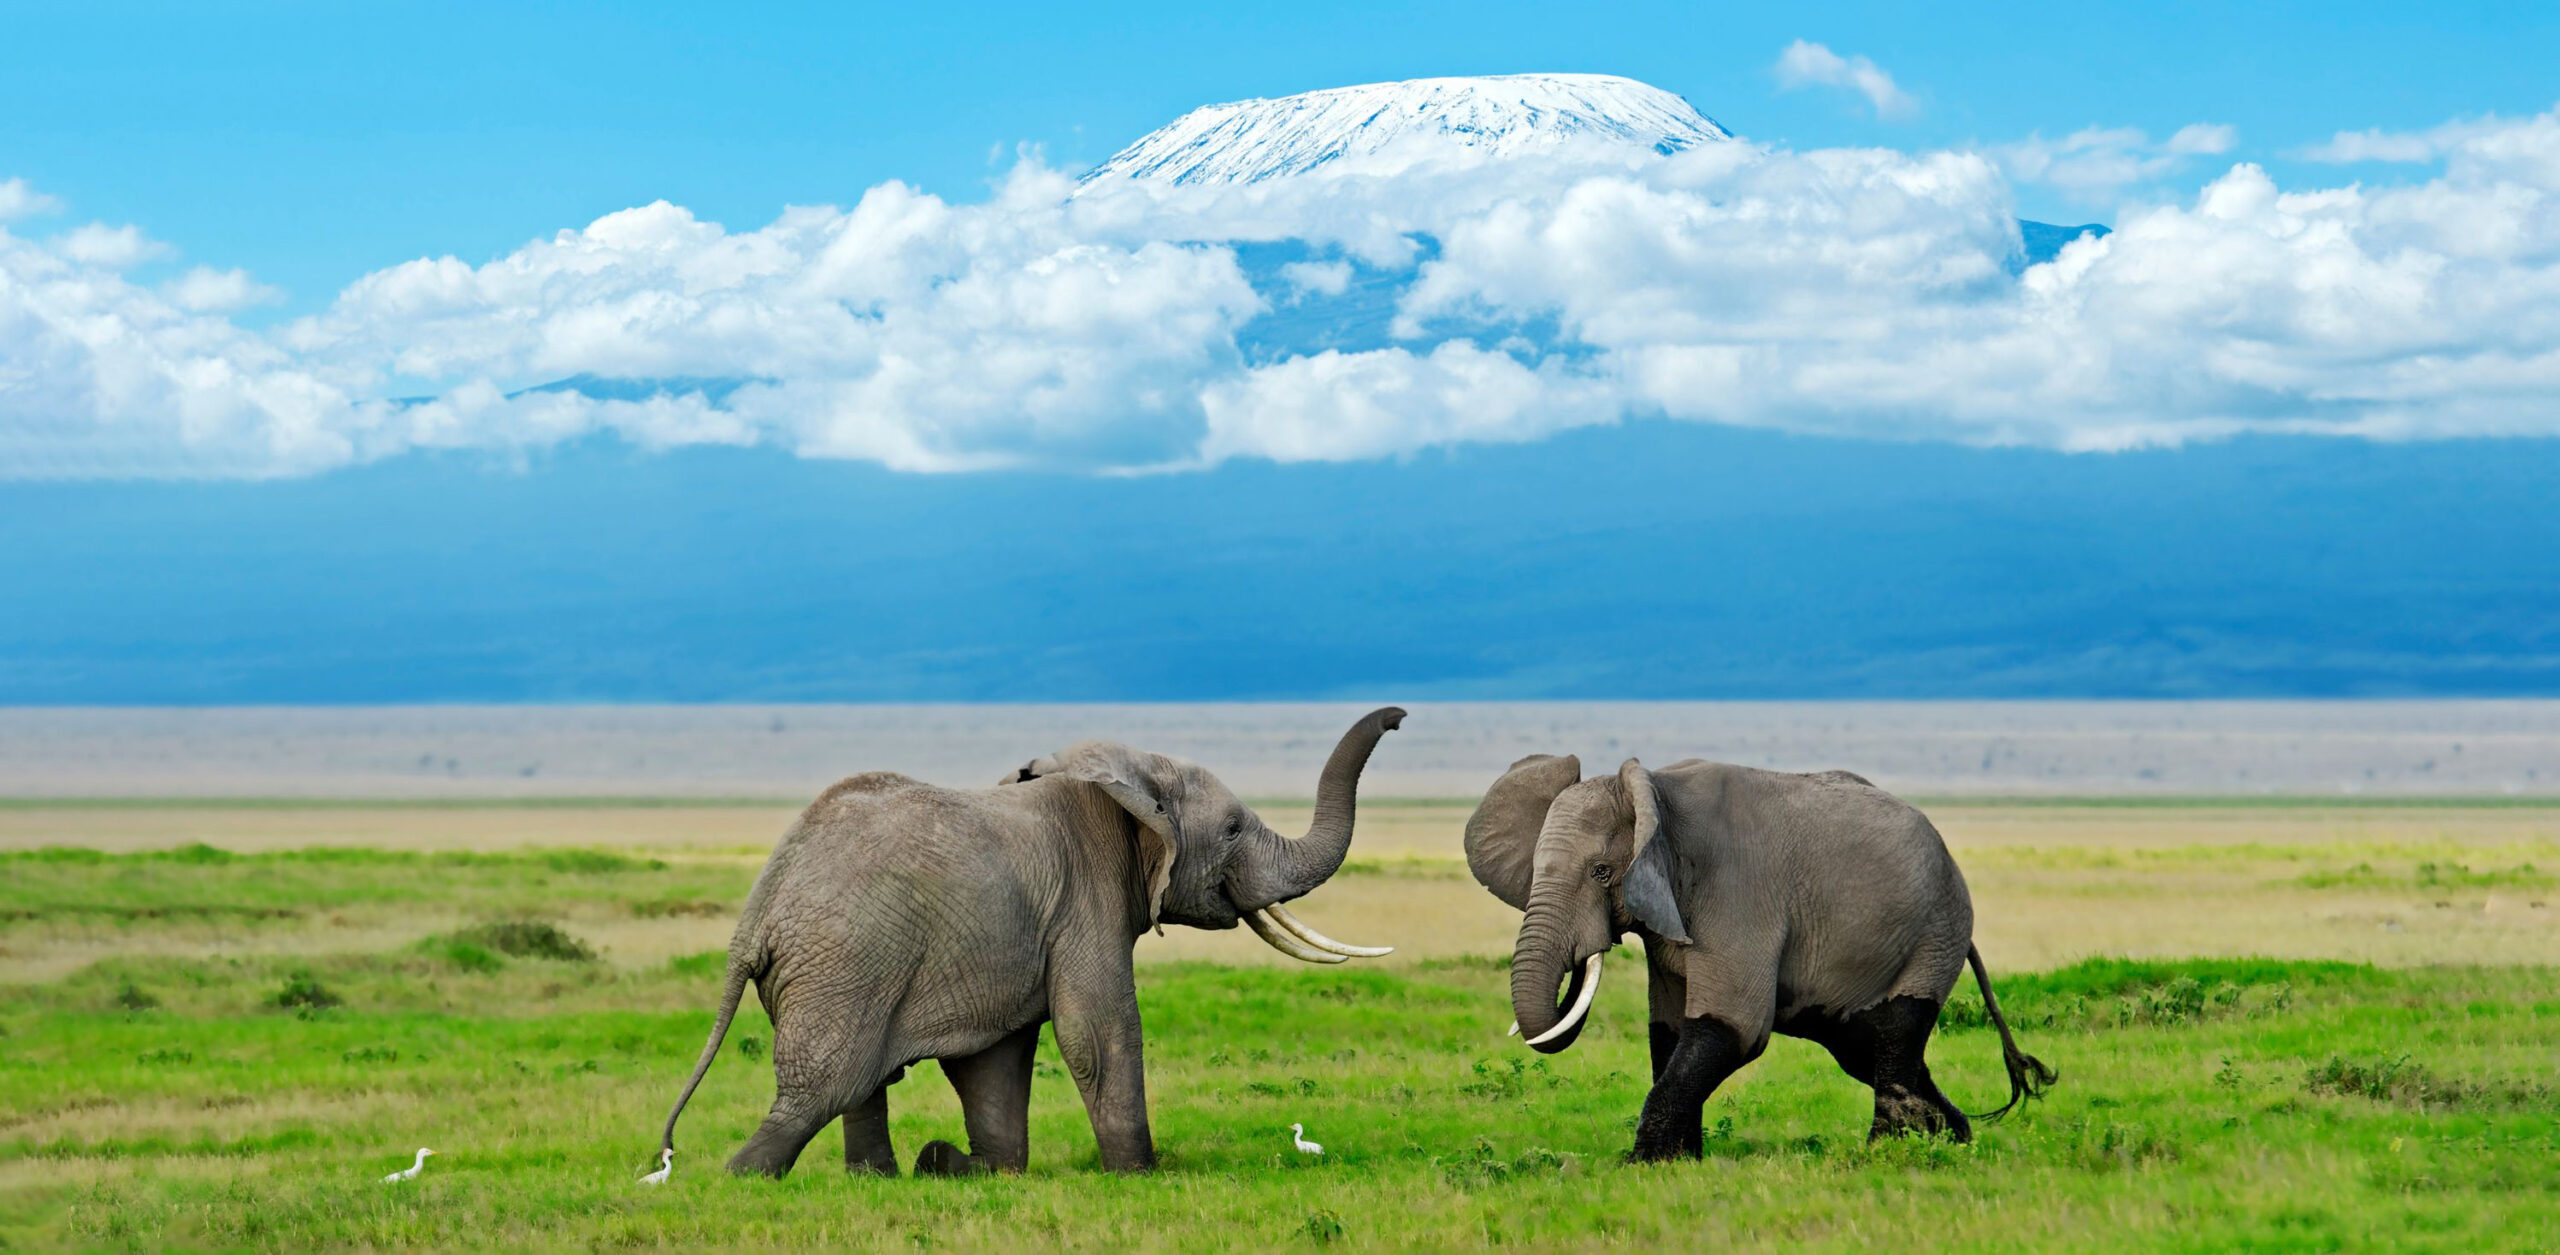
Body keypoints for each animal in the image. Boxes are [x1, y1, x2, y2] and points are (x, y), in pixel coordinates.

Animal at [657, 707, 1406, 1178]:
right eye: (1230, 830)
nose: (1398, 718)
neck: (1130, 779)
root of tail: (761, 905)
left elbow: (998, 1058)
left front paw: (975, 1166)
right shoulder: (1086, 897)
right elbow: (1098, 1031)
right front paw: (1140, 1174)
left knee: (859, 1084)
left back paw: (890, 1176)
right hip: (845, 961)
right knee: (825, 1086)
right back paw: (741, 1177)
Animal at [1463, 753, 2053, 1160]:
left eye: (1602, 873)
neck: (1653, 790)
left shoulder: (1736, 894)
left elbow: (1733, 1026)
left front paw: (1639, 1164)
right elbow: (1669, 1031)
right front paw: (1678, 1164)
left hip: (1935, 931)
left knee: (1894, 1036)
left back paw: (1886, 1154)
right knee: (1868, 1050)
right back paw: (1954, 1139)